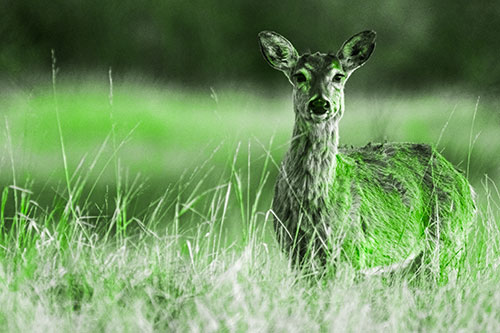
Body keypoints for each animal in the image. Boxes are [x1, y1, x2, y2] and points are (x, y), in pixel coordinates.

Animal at [258, 29, 476, 276]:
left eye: (338, 76)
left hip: (448, 243)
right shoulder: (294, 253)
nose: (320, 104)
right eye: (299, 76)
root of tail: (466, 185)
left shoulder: (351, 252)